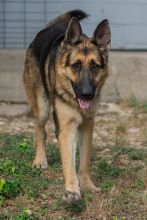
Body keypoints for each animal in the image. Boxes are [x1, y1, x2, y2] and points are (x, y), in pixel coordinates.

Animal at [23, 9, 111, 203]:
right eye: (75, 65)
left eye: (95, 66)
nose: (87, 94)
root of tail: (48, 28)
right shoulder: (67, 128)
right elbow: (68, 163)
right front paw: (71, 189)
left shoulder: (86, 127)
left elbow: (83, 161)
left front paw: (86, 185)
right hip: (43, 107)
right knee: (40, 131)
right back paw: (40, 160)